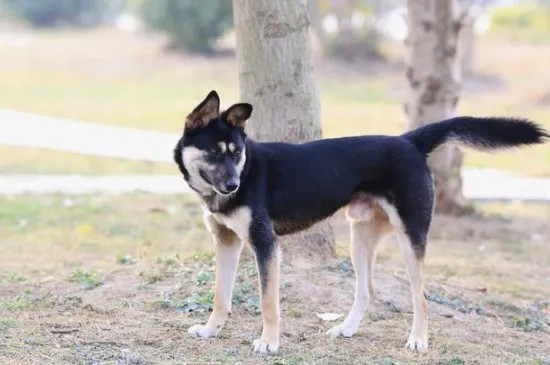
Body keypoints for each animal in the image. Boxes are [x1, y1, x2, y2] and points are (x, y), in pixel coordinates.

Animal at [174, 89, 550, 352]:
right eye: (214, 153)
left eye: (237, 153)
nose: (233, 185)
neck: (245, 172)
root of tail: (409, 142)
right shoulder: (226, 242)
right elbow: (221, 296)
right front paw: (209, 330)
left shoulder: (265, 244)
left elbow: (268, 302)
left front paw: (268, 342)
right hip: (361, 237)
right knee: (367, 290)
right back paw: (347, 328)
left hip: (411, 237)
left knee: (421, 295)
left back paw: (418, 340)